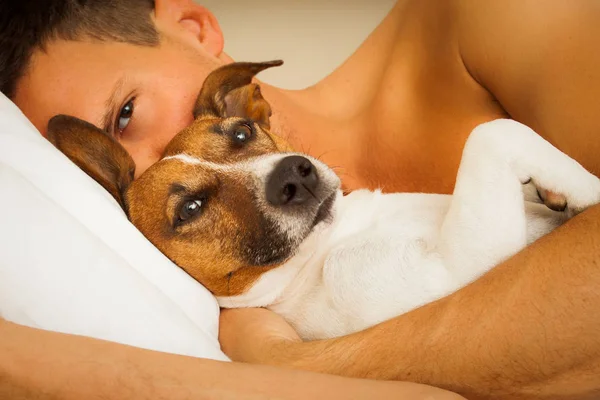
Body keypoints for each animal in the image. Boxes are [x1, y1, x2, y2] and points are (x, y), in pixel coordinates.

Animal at [49, 60, 600, 340]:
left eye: (243, 132)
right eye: (190, 210)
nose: (296, 173)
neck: (334, 241)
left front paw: (553, 189)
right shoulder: (457, 265)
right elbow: (494, 132)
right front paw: (589, 190)